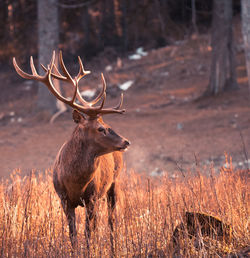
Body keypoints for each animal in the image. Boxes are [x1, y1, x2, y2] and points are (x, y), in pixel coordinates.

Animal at [13, 51, 131, 250]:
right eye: (101, 128)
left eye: (106, 125)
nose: (126, 141)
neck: (76, 181)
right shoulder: (64, 199)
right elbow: (73, 234)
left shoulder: (92, 197)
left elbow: (89, 232)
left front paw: (91, 250)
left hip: (114, 181)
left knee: (111, 220)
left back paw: (114, 248)